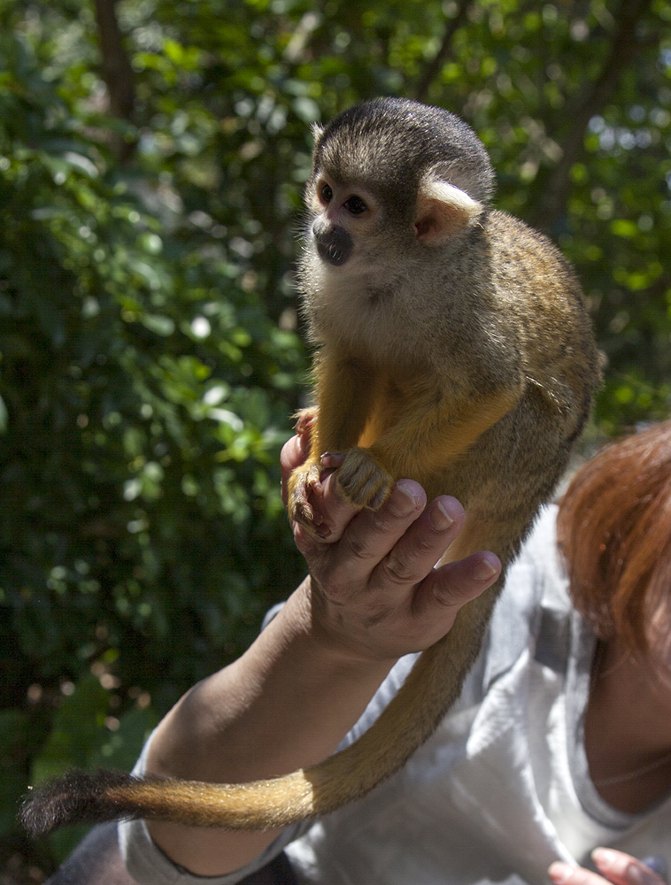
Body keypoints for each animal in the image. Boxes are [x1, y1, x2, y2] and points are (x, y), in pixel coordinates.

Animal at [21, 98, 600, 836]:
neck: (397, 267)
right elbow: (351, 355)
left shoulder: (463, 298)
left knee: (516, 407)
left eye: (356, 205)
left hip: (511, 466)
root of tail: (530, 501)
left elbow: (490, 388)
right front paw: (312, 472)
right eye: (323, 191)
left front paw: (371, 465)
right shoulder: (328, 276)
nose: (323, 228)